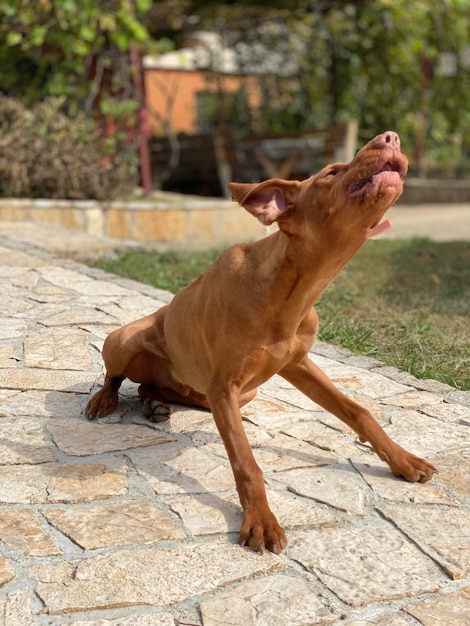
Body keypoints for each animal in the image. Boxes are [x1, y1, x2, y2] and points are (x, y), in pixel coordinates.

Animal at [86, 130, 436, 552]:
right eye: (333, 172)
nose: (391, 137)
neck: (290, 293)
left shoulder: (295, 365)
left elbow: (359, 411)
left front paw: (402, 459)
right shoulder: (225, 385)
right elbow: (246, 462)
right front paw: (260, 521)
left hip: (238, 393)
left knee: (161, 389)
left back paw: (155, 402)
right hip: (125, 339)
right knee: (116, 377)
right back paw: (106, 399)